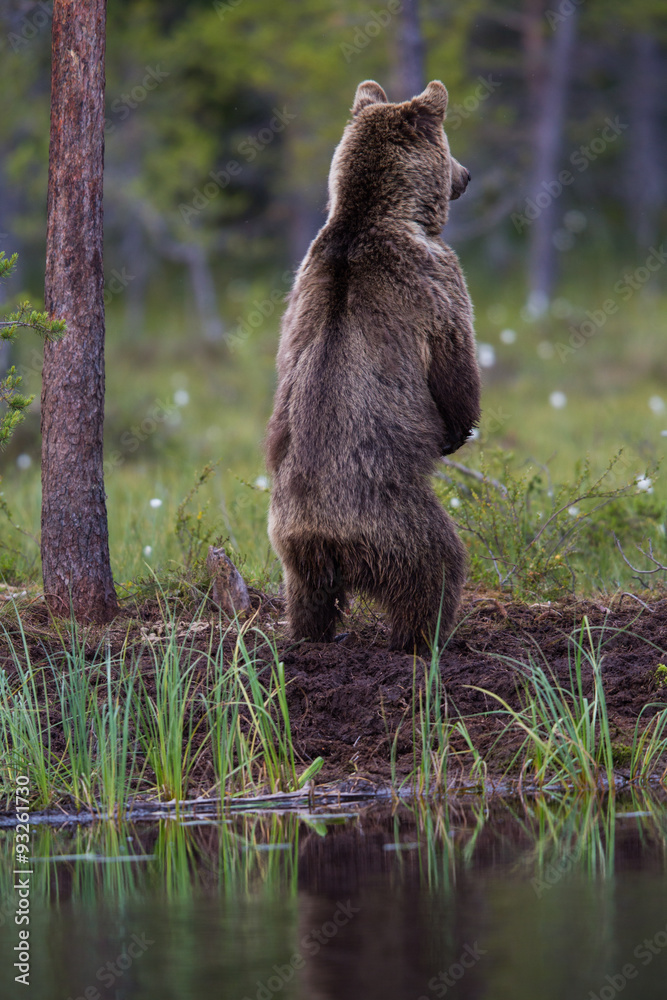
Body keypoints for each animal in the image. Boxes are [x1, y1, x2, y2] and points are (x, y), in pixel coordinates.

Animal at [265, 79, 481, 653]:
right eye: (449, 146)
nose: (467, 176)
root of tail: (324, 534)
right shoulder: (435, 280)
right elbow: (456, 358)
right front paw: (461, 428)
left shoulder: (300, 281)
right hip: (395, 516)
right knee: (436, 567)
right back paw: (427, 637)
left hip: (287, 541)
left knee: (307, 595)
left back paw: (311, 635)